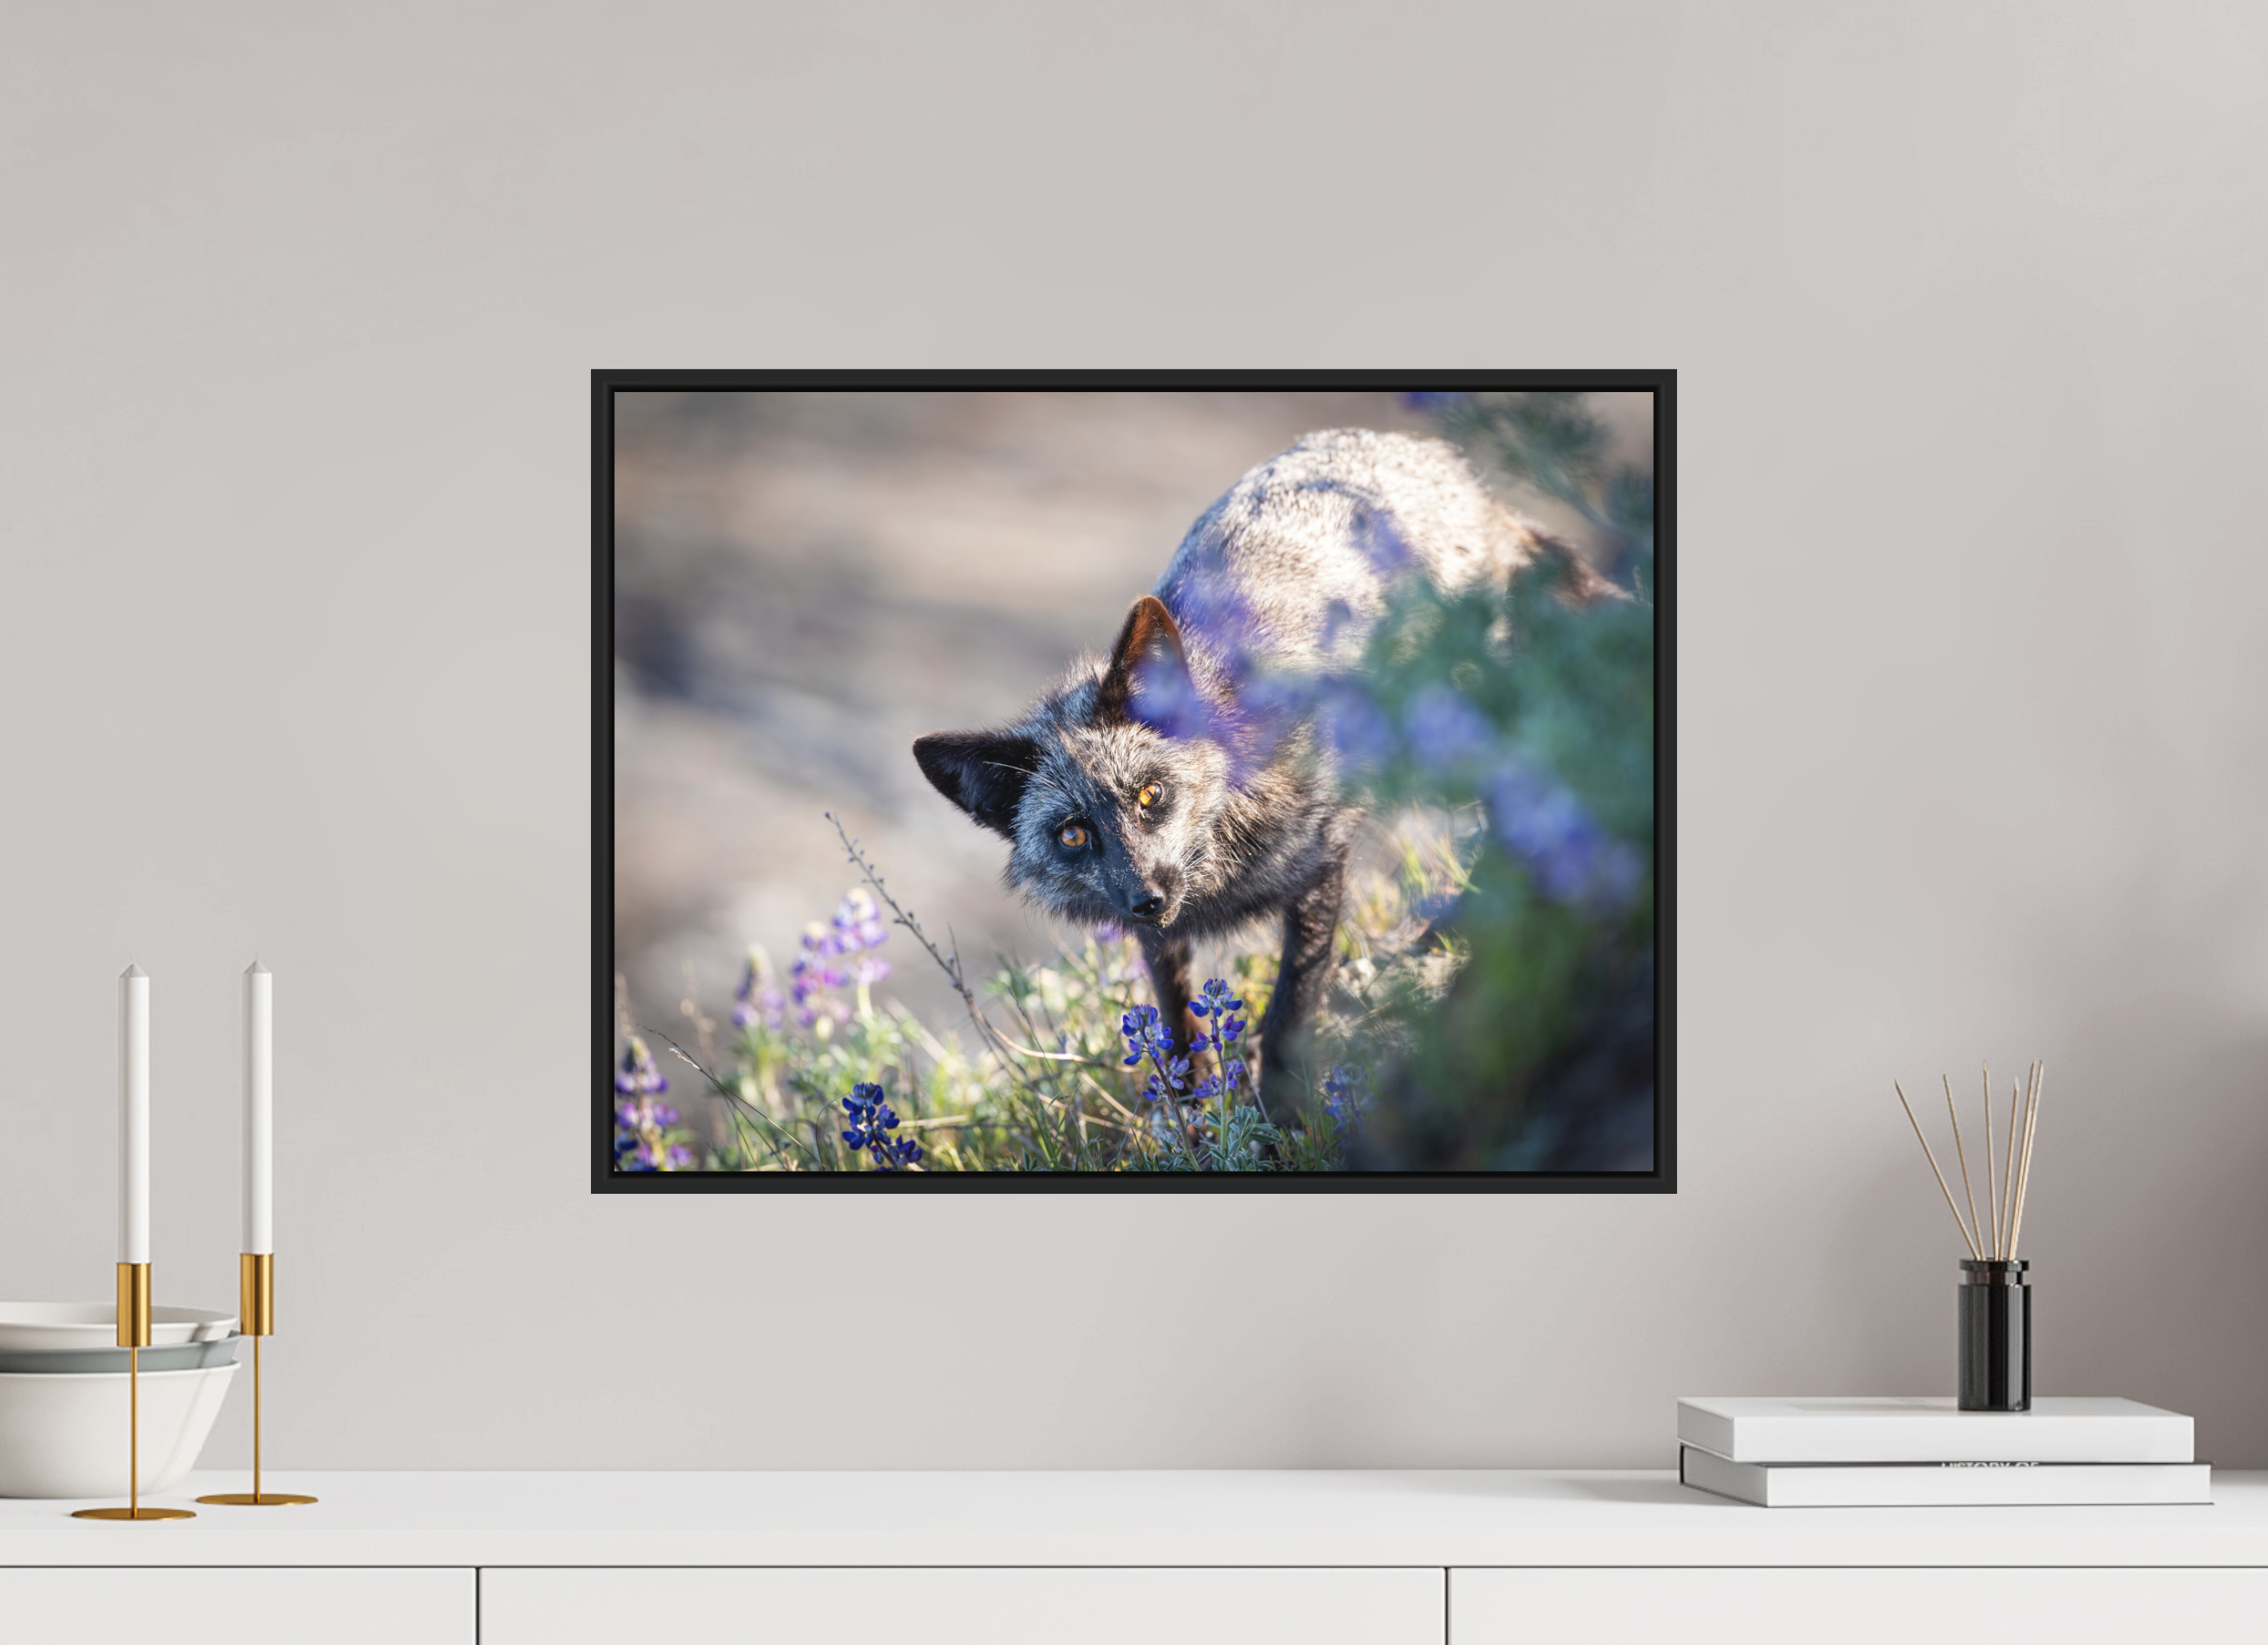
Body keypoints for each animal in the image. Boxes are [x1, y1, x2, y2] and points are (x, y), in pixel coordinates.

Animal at [912, 428, 1580, 1122]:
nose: (1147, 897)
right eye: (1072, 834)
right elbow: (1176, 1019)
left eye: (1151, 794)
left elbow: (1292, 1009)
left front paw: (1284, 1117)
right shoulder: (1159, 931)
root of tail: (1448, 466)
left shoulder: (1321, 865)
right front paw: (1192, 1112)